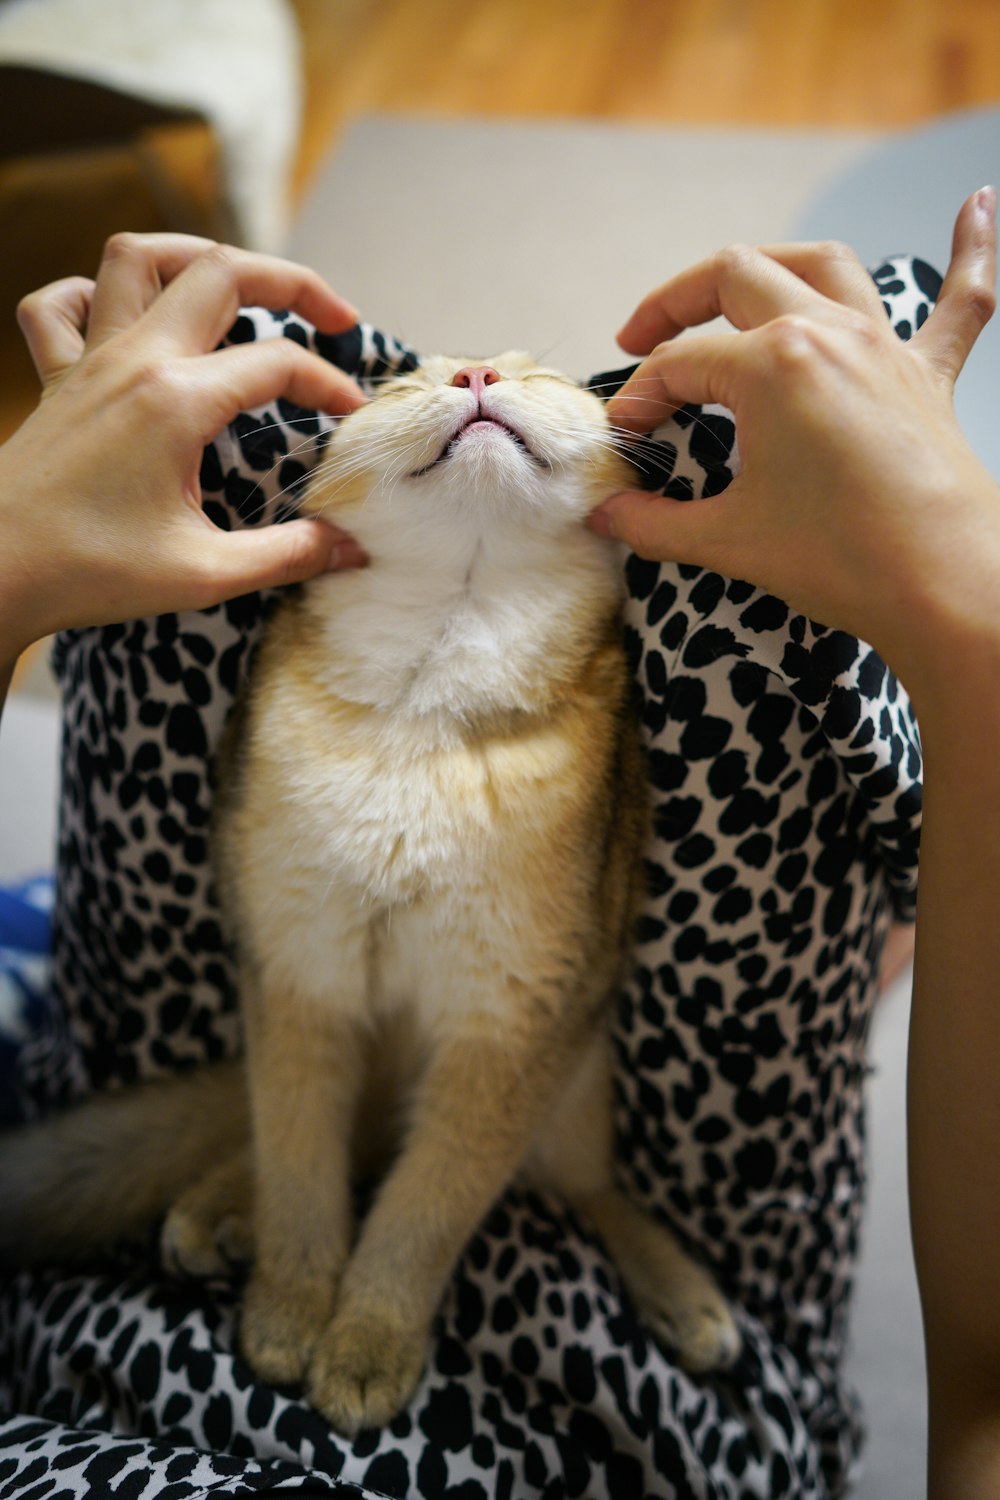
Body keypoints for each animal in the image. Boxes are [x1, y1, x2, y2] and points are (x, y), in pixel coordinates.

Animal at [0, 348, 734, 1428]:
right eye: (397, 387)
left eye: (542, 374)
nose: (478, 373)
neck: (424, 701)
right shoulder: (300, 974)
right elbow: (302, 1166)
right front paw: (291, 1310)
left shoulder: (509, 1029)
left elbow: (425, 1208)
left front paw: (369, 1340)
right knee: (304, 1136)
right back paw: (223, 1204)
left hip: (577, 1083)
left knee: (586, 1191)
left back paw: (681, 1292)